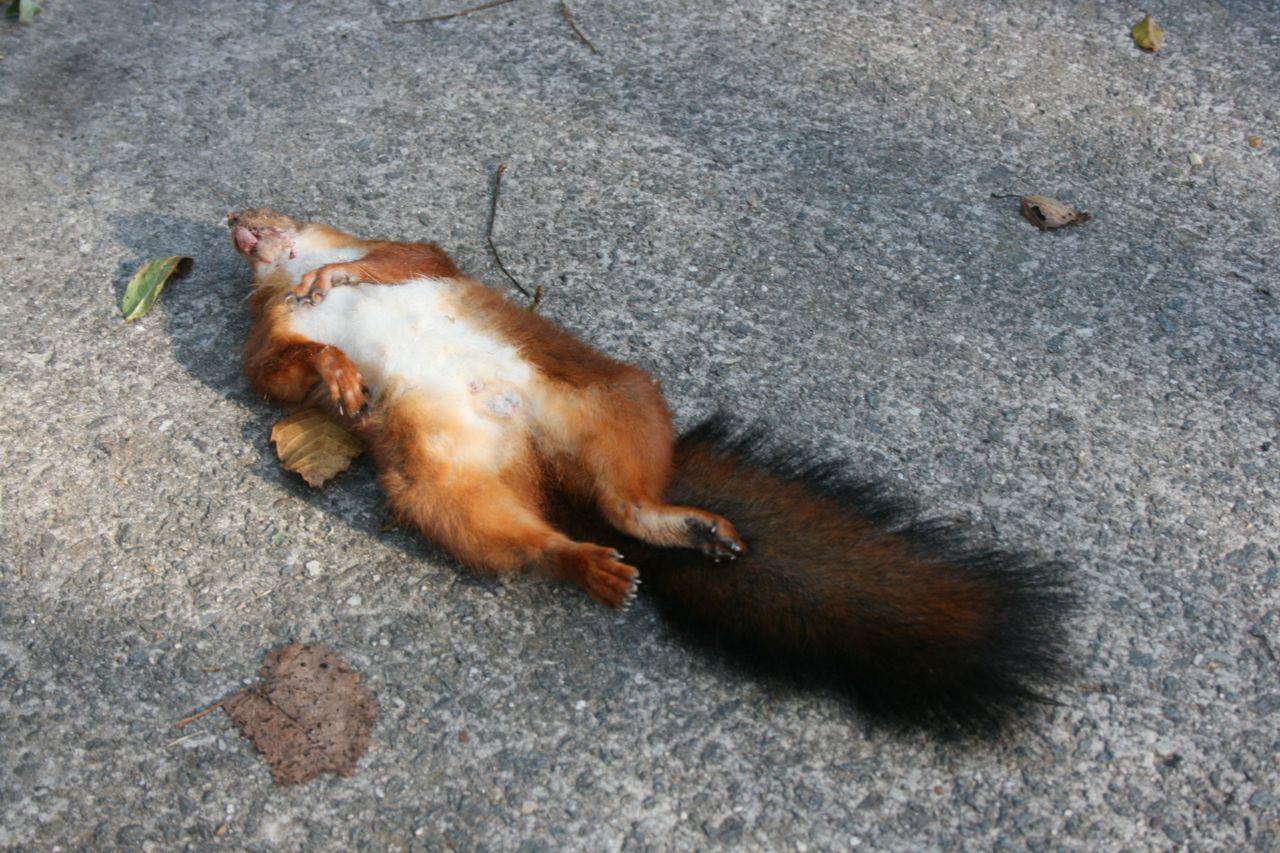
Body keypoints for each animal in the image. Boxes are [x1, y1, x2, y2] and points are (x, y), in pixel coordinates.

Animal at [227, 208, 1070, 727]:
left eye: (274, 205)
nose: (234, 221)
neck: (295, 264)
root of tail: (545, 471)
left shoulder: (403, 249)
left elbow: (402, 256)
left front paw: (341, 280)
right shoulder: (269, 337)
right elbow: (277, 373)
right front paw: (338, 375)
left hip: (615, 400)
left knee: (627, 501)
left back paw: (679, 530)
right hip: (441, 487)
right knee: (534, 538)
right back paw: (596, 563)